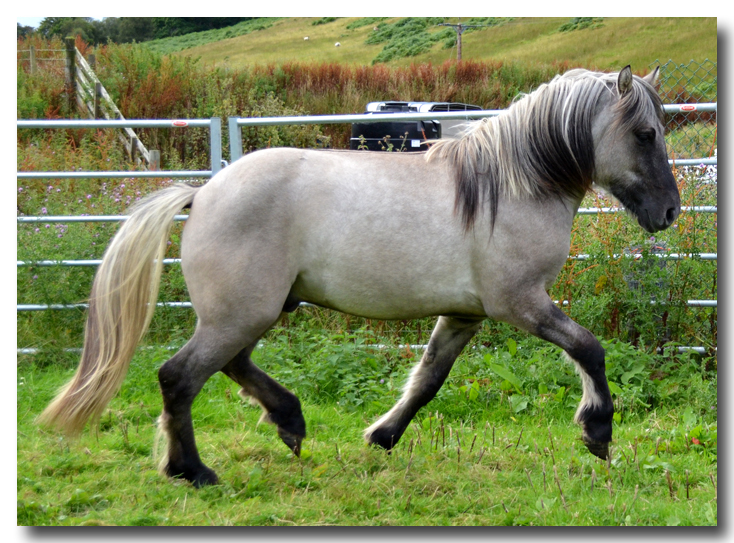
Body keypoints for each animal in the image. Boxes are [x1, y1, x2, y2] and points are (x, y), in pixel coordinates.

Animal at [39, 66, 680, 487]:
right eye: (645, 133)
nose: (669, 212)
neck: (509, 186)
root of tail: (204, 192)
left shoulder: (465, 314)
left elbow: (427, 380)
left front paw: (383, 435)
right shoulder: (519, 303)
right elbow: (589, 349)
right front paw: (597, 432)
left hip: (250, 311)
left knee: (228, 365)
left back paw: (289, 422)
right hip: (244, 311)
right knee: (180, 376)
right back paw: (192, 470)